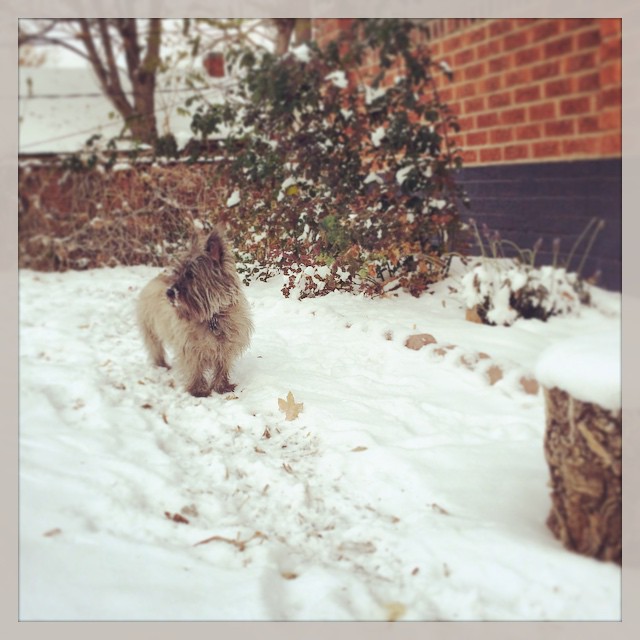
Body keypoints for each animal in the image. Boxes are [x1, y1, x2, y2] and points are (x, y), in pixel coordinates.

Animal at [138, 228, 252, 392]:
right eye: (177, 272)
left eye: (190, 275)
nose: (169, 292)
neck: (213, 317)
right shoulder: (190, 348)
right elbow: (195, 368)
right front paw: (198, 390)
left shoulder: (227, 347)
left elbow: (222, 367)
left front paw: (221, 386)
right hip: (151, 330)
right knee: (156, 349)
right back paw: (162, 366)